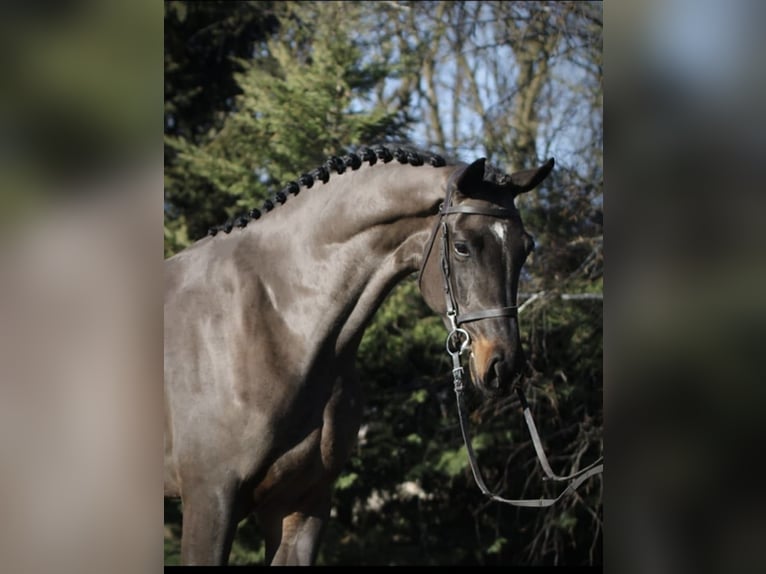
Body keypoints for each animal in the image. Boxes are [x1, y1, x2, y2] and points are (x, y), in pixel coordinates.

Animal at [164, 145, 555, 565]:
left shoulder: (302, 505)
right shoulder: (211, 500)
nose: (504, 366)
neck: (274, 322)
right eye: (462, 246)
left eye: (526, 248)